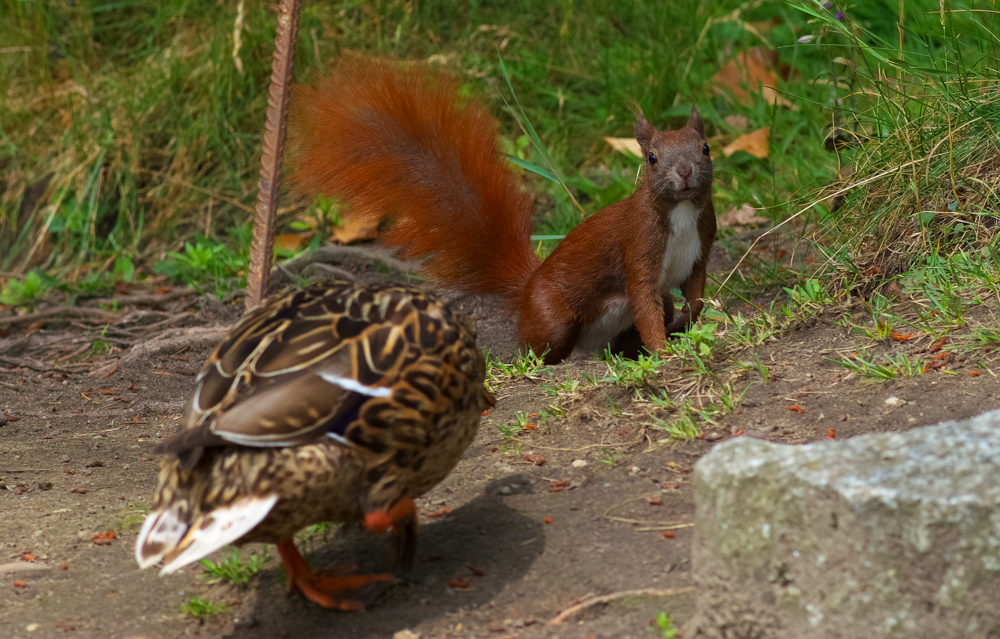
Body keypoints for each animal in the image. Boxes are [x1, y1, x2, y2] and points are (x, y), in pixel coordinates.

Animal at [286, 58, 716, 364]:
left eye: (706, 147)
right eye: (652, 158)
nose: (685, 171)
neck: (680, 213)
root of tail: (527, 287)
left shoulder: (701, 249)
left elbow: (694, 295)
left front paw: (687, 328)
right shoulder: (638, 244)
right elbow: (644, 302)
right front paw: (664, 351)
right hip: (553, 317)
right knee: (540, 348)